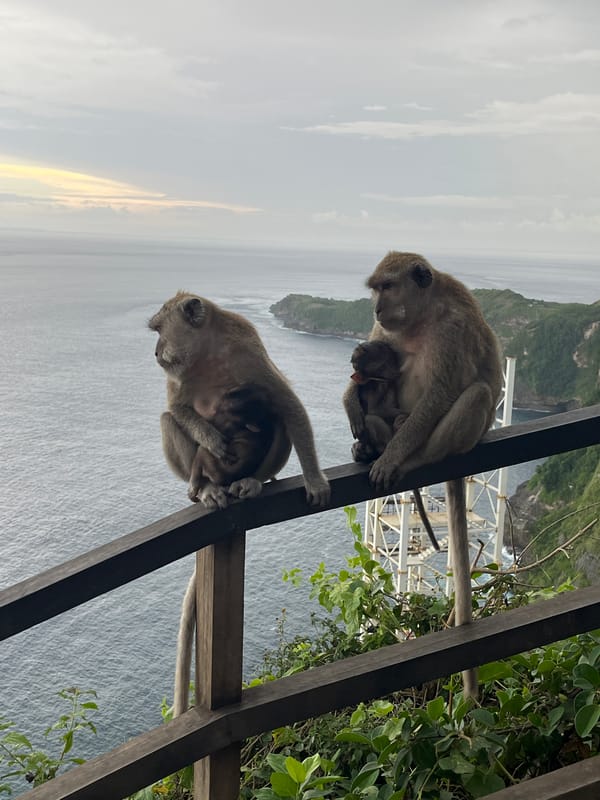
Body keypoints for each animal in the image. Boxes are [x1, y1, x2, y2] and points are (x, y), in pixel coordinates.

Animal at [149, 292, 330, 716]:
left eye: (160, 329)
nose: (156, 351)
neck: (207, 353)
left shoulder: (248, 351)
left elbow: (288, 403)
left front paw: (314, 479)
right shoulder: (180, 377)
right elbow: (178, 409)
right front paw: (211, 437)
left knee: (277, 416)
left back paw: (252, 481)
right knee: (168, 420)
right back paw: (203, 489)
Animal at [344, 339, 440, 552]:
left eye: (382, 349)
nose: (359, 349)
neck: (375, 379)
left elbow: (382, 408)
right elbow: (373, 408)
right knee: (371, 420)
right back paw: (368, 451)